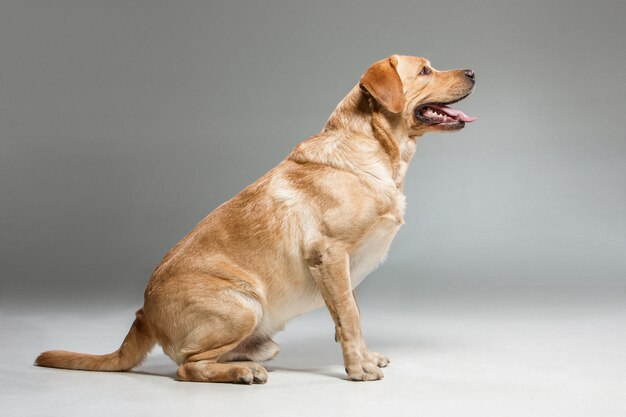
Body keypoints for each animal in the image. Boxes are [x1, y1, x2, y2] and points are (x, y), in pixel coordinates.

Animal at [35, 55, 472, 384]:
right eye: (425, 71)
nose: (472, 72)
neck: (375, 150)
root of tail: (143, 314)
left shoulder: (344, 271)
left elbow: (350, 313)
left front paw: (363, 356)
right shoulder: (329, 255)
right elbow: (349, 317)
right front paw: (358, 367)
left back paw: (243, 364)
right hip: (243, 306)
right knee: (187, 366)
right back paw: (244, 373)